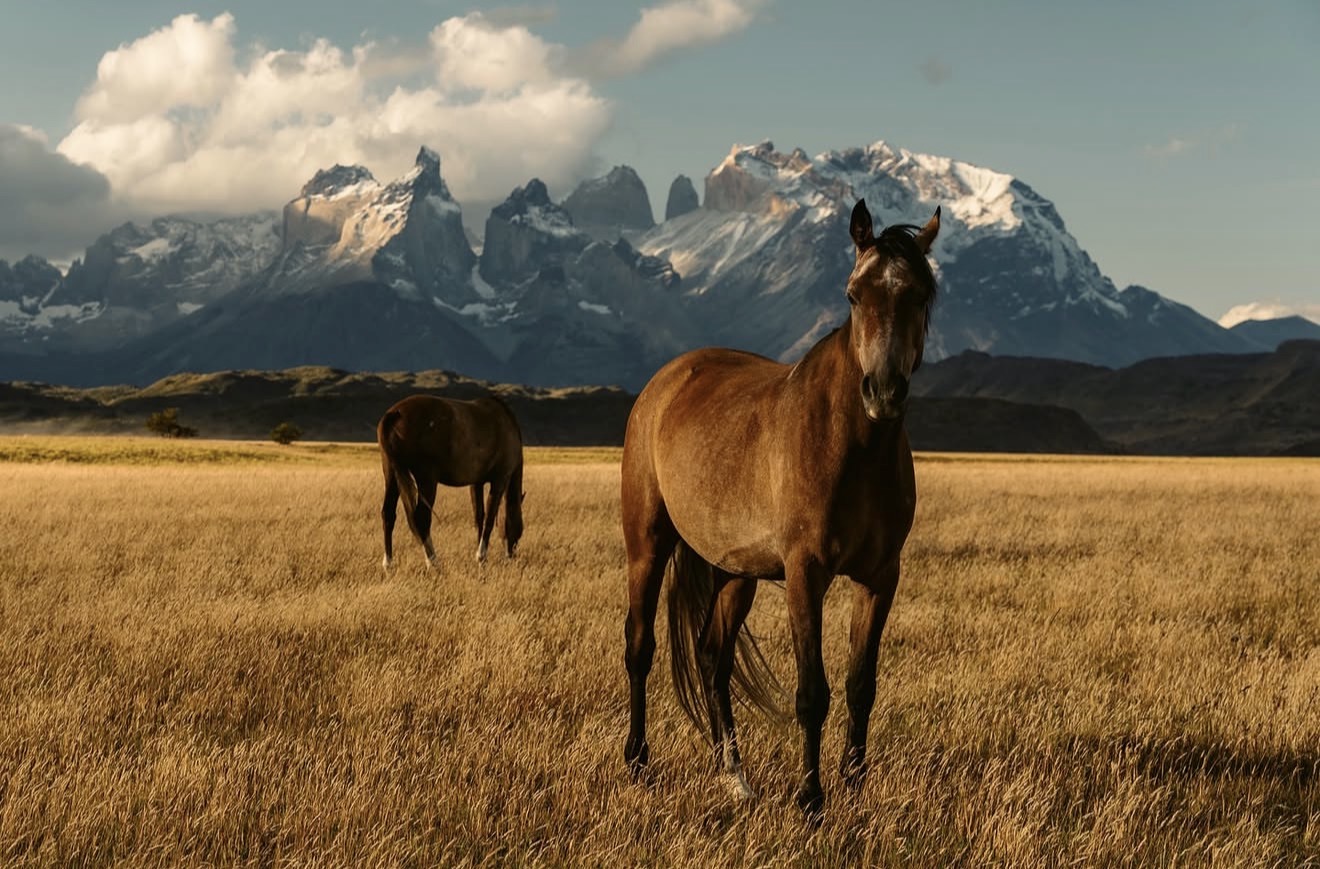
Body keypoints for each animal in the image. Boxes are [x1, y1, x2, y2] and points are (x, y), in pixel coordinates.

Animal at [377, 394, 525, 570]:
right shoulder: (500, 480)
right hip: (426, 478)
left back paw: (388, 563)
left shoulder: (476, 483)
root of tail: (395, 414)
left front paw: (480, 557)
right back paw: (433, 562)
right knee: (421, 517)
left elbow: (479, 517)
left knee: (388, 514)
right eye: (520, 528)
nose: (512, 555)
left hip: (391, 475)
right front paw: (481, 556)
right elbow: (489, 518)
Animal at [620, 199, 942, 816]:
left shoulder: (880, 577)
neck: (852, 448)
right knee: (640, 647)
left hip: (732, 571)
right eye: (853, 294)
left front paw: (853, 786)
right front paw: (811, 799)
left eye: (919, 295)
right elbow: (812, 692)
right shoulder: (804, 573)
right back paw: (638, 763)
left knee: (713, 658)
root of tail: (665, 381)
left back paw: (734, 776)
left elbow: (861, 686)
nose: (883, 392)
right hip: (647, 545)